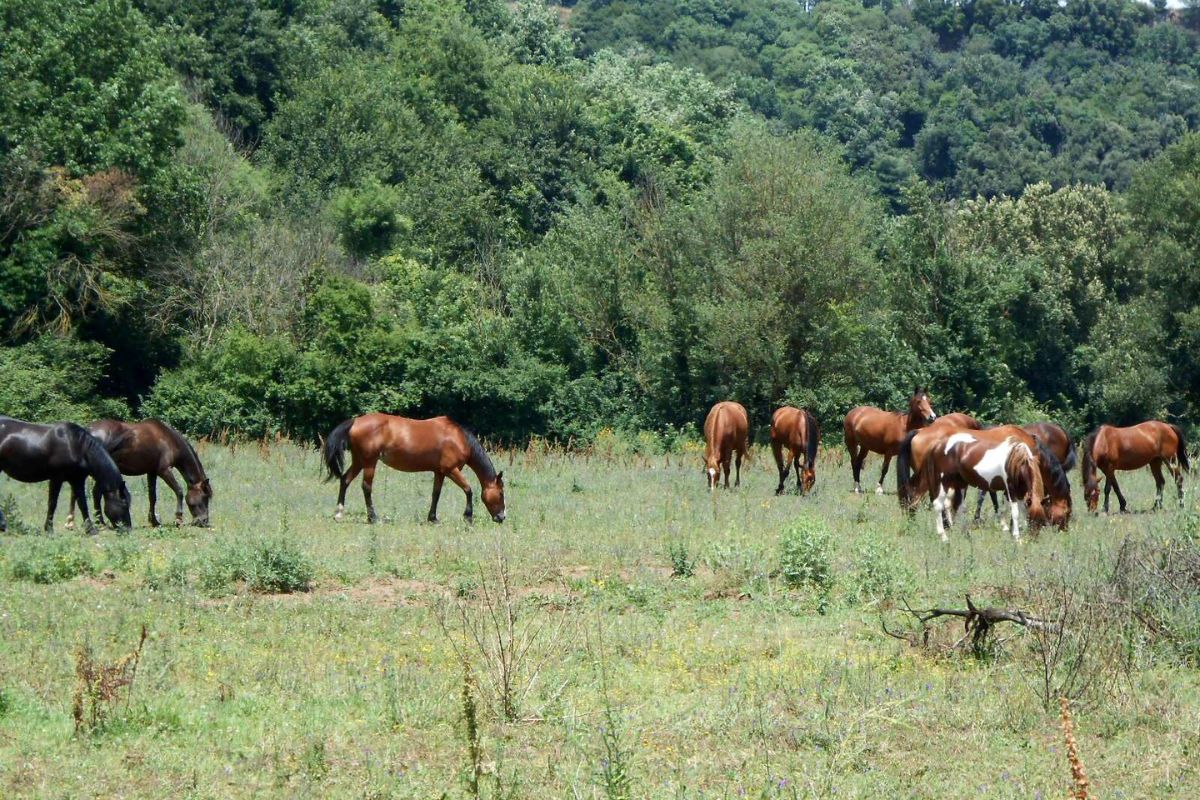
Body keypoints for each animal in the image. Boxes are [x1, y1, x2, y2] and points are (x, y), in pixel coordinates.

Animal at [0, 417, 131, 534]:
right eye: (124, 504)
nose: (128, 528)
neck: (76, 446)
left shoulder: (77, 480)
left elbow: (82, 503)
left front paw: (90, 529)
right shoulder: (56, 478)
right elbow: (52, 503)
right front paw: (49, 529)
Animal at [67, 419, 212, 528]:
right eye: (205, 497)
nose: (204, 521)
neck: (169, 439)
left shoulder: (152, 472)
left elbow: (152, 497)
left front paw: (154, 521)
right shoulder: (164, 470)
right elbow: (179, 491)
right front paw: (178, 518)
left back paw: (74, 523)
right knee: (94, 493)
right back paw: (99, 523)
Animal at [323, 414, 505, 523]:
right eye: (501, 494)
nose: (501, 517)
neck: (458, 438)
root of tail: (355, 421)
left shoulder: (440, 472)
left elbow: (436, 494)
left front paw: (433, 518)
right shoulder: (451, 470)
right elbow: (468, 489)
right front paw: (468, 517)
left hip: (359, 461)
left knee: (345, 480)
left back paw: (339, 513)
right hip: (369, 462)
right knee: (366, 487)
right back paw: (373, 518)